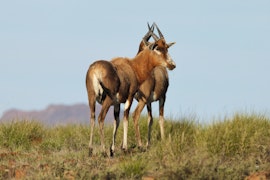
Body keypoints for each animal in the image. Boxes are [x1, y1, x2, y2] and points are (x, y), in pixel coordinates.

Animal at [85, 23, 176, 156]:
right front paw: (125, 147)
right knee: (101, 118)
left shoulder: (117, 103)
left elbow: (117, 121)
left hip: (91, 97)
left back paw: (91, 149)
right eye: (157, 48)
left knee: (92, 117)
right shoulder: (130, 97)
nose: (172, 64)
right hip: (108, 100)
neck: (132, 66)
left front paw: (113, 149)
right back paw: (104, 150)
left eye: (167, 47)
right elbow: (126, 117)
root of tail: (95, 69)